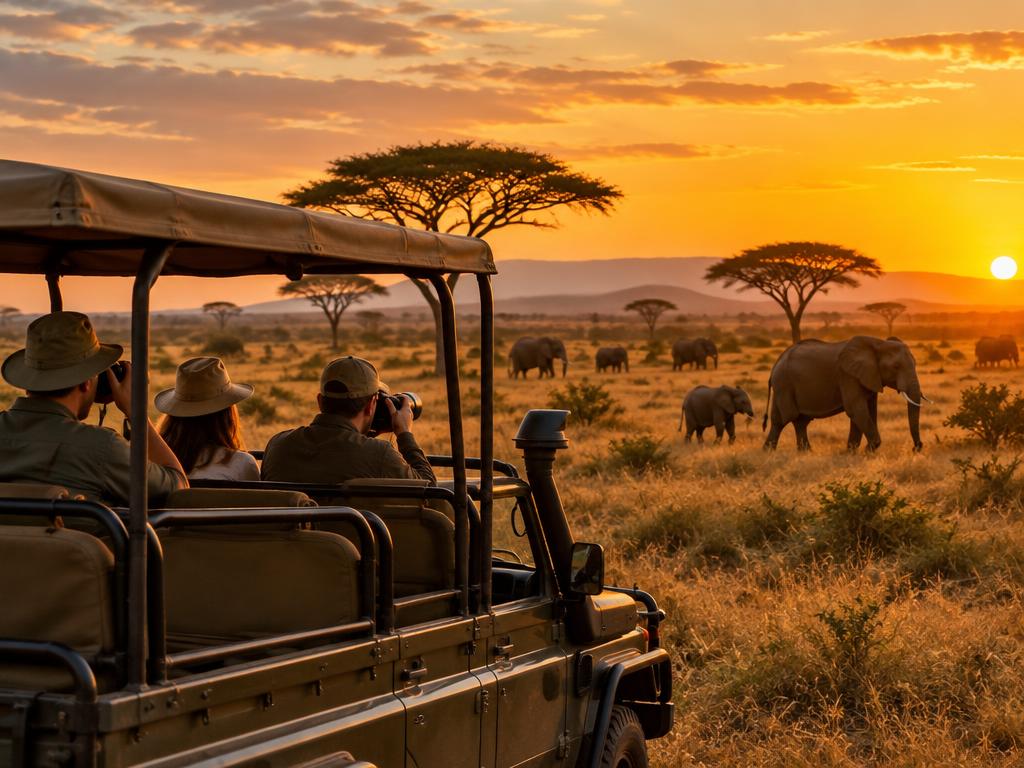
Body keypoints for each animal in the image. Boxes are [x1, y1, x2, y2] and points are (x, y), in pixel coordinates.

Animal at [763, 336, 927, 452]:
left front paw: (851, 452)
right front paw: (868, 450)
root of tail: (775, 365)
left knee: (788, 420)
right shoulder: (848, 376)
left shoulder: (869, 377)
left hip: (783, 386)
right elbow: (856, 410)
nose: (916, 448)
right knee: (790, 418)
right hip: (784, 384)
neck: (879, 343)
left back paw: (785, 452)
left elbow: (868, 411)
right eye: (896, 366)